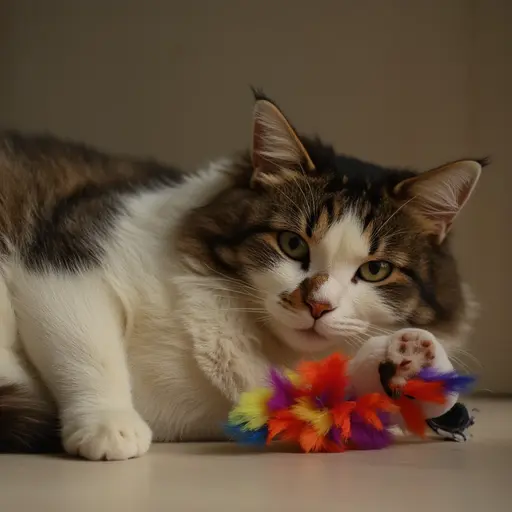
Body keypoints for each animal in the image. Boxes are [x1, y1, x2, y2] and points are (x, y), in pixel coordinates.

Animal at [0, 91, 482, 460]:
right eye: (292, 245)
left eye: (375, 269)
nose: (317, 305)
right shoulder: (68, 254)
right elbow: (88, 349)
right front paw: (110, 425)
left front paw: (410, 361)